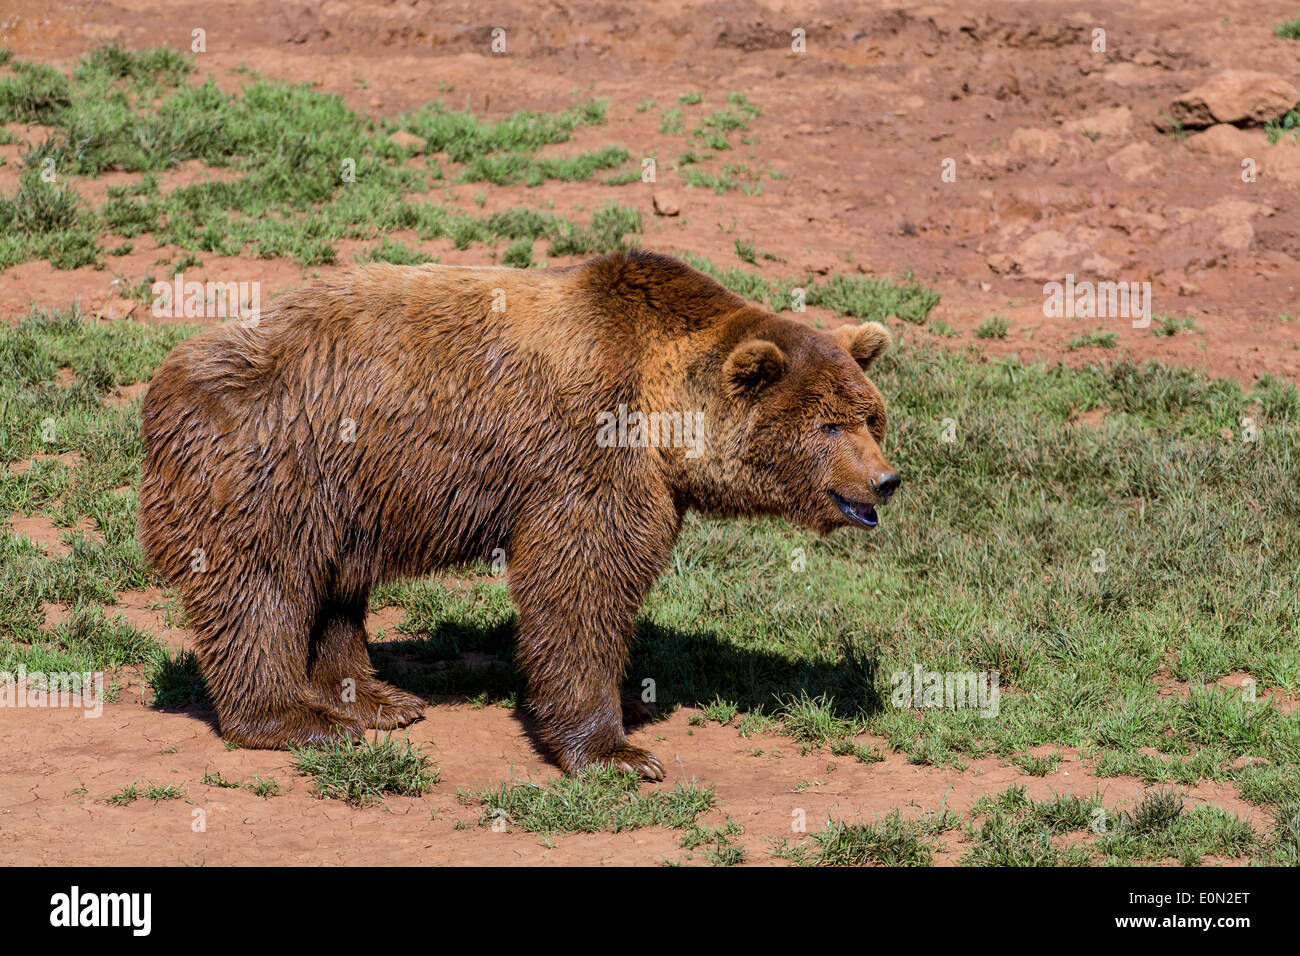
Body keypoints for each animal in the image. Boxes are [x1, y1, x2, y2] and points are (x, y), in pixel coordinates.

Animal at [139, 249, 900, 779]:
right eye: (828, 426)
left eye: (870, 415)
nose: (886, 480)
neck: (663, 414)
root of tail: (163, 382)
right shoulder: (591, 452)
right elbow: (580, 583)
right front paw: (617, 753)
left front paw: (632, 699)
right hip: (270, 460)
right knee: (260, 587)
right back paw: (294, 718)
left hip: (345, 491)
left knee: (334, 587)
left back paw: (376, 699)